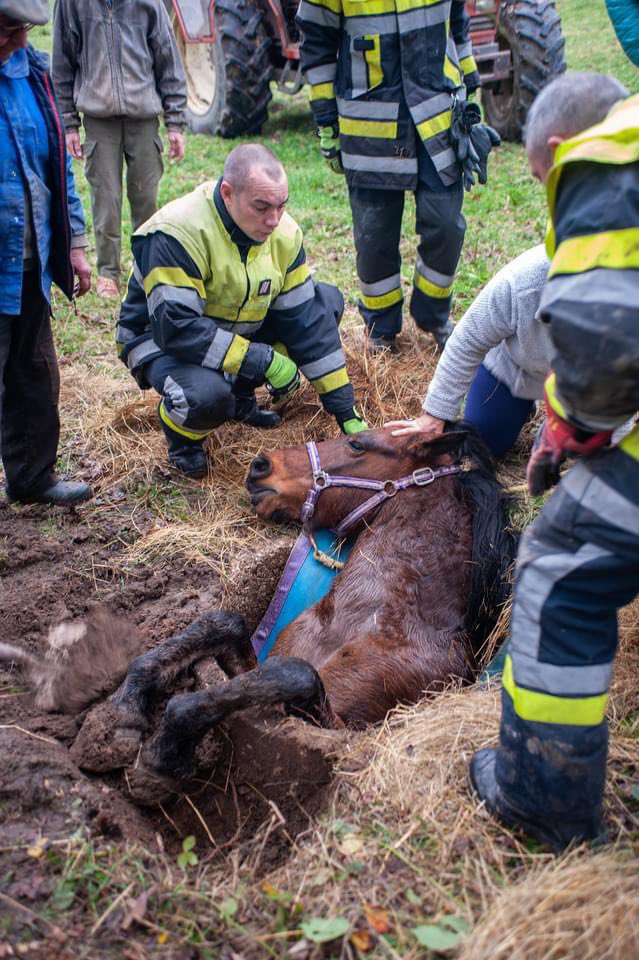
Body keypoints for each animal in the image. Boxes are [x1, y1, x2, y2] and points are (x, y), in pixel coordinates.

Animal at [93, 423, 516, 781]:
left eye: (357, 444)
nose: (260, 466)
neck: (370, 618)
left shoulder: (340, 726)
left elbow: (294, 673)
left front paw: (167, 747)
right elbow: (225, 623)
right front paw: (124, 710)